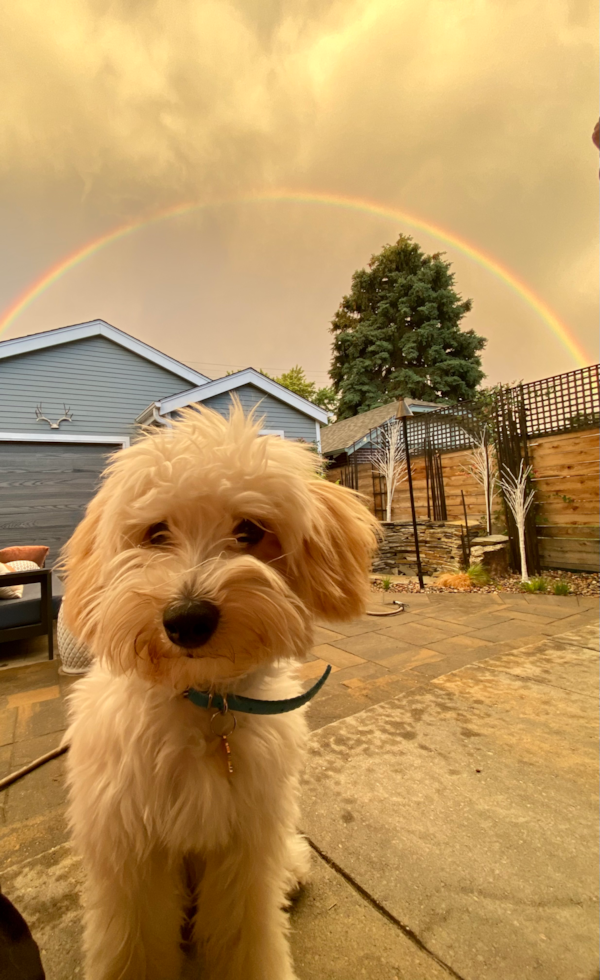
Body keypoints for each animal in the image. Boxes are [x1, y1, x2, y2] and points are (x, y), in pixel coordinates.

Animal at [62, 406, 380, 980]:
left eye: (250, 529)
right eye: (156, 532)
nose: (186, 621)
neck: (202, 702)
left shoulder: (245, 847)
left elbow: (245, 928)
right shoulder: (129, 850)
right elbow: (134, 943)